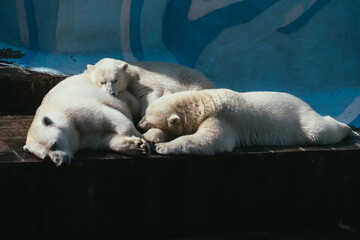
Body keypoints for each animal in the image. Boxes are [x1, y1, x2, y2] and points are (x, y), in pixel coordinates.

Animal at [85, 57, 214, 142]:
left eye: (115, 80)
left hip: (194, 85)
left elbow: (150, 93)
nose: (111, 93)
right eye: (102, 82)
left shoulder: (142, 80)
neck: (131, 69)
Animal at [137, 89, 358, 155]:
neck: (202, 102)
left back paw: (347, 128)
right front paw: (151, 138)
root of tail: (306, 103)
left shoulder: (221, 118)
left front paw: (164, 147)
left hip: (300, 119)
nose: (139, 124)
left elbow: (213, 139)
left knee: (319, 130)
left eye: (147, 118)